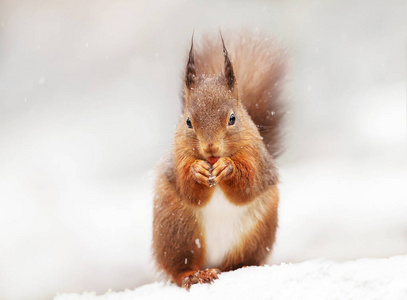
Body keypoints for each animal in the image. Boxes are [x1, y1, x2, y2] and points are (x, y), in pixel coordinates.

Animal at [152, 31, 284, 290]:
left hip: (256, 232)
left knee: (240, 260)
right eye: (188, 122)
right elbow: (189, 189)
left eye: (232, 118)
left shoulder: (255, 157)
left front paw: (228, 168)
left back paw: (240, 267)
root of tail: (214, 263)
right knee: (179, 267)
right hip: (178, 229)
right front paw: (197, 171)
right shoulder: (178, 158)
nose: (210, 149)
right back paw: (195, 275)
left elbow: (247, 186)